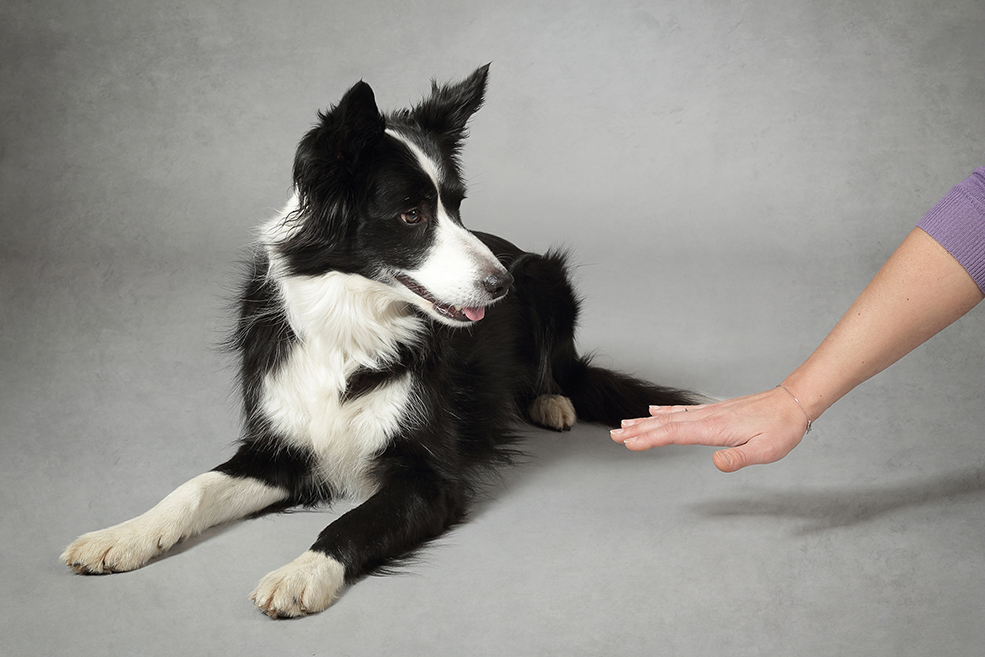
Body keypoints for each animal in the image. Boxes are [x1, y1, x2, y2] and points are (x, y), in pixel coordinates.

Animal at [61, 64, 696, 616]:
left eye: (457, 206)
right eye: (411, 214)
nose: (501, 286)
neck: (349, 323)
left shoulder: (430, 477)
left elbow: (350, 521)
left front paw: (300, 573)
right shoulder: (280, 447)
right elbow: (192, 489)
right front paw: (122, 536)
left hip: (549, 275)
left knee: (558, 369)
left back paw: (551, 401)